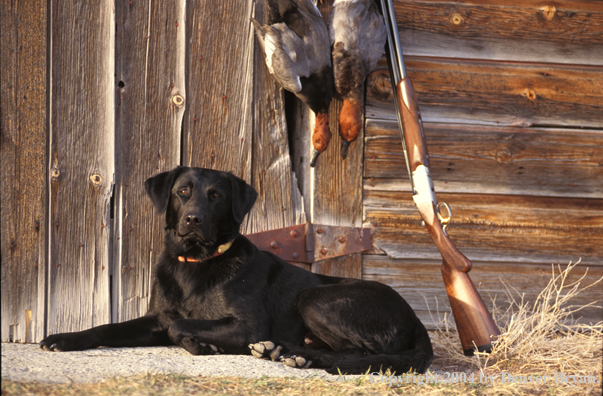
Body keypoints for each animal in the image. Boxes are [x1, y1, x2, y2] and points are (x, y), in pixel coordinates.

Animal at [39, 166, 434, 374]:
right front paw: (64, 338)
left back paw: (289, 352)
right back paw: (288, 352)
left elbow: (181, 325)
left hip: (314, 296)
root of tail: (415, 319)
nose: (193, 219)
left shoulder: (248, 325)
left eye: (216, 196)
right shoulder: (154, 317)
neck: (196, 263)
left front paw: (204, 344)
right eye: (182, 192)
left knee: (360, 353)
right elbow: (108, 327)